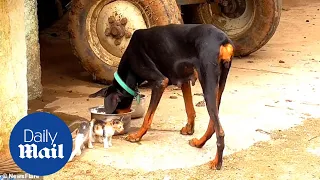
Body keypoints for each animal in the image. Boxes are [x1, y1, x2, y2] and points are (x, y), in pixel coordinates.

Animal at [90, 23, 235, 169]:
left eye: (115, 110)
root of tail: (223, 40)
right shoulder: (184, 79)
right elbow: (189, 110)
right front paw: (189, 129)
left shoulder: (160, 82)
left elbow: (148, 117)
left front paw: (137, 136)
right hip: (220, 83)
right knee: (213, 123)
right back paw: (199, 143)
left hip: (208, 80)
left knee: (220, 131)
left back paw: (217, 162)